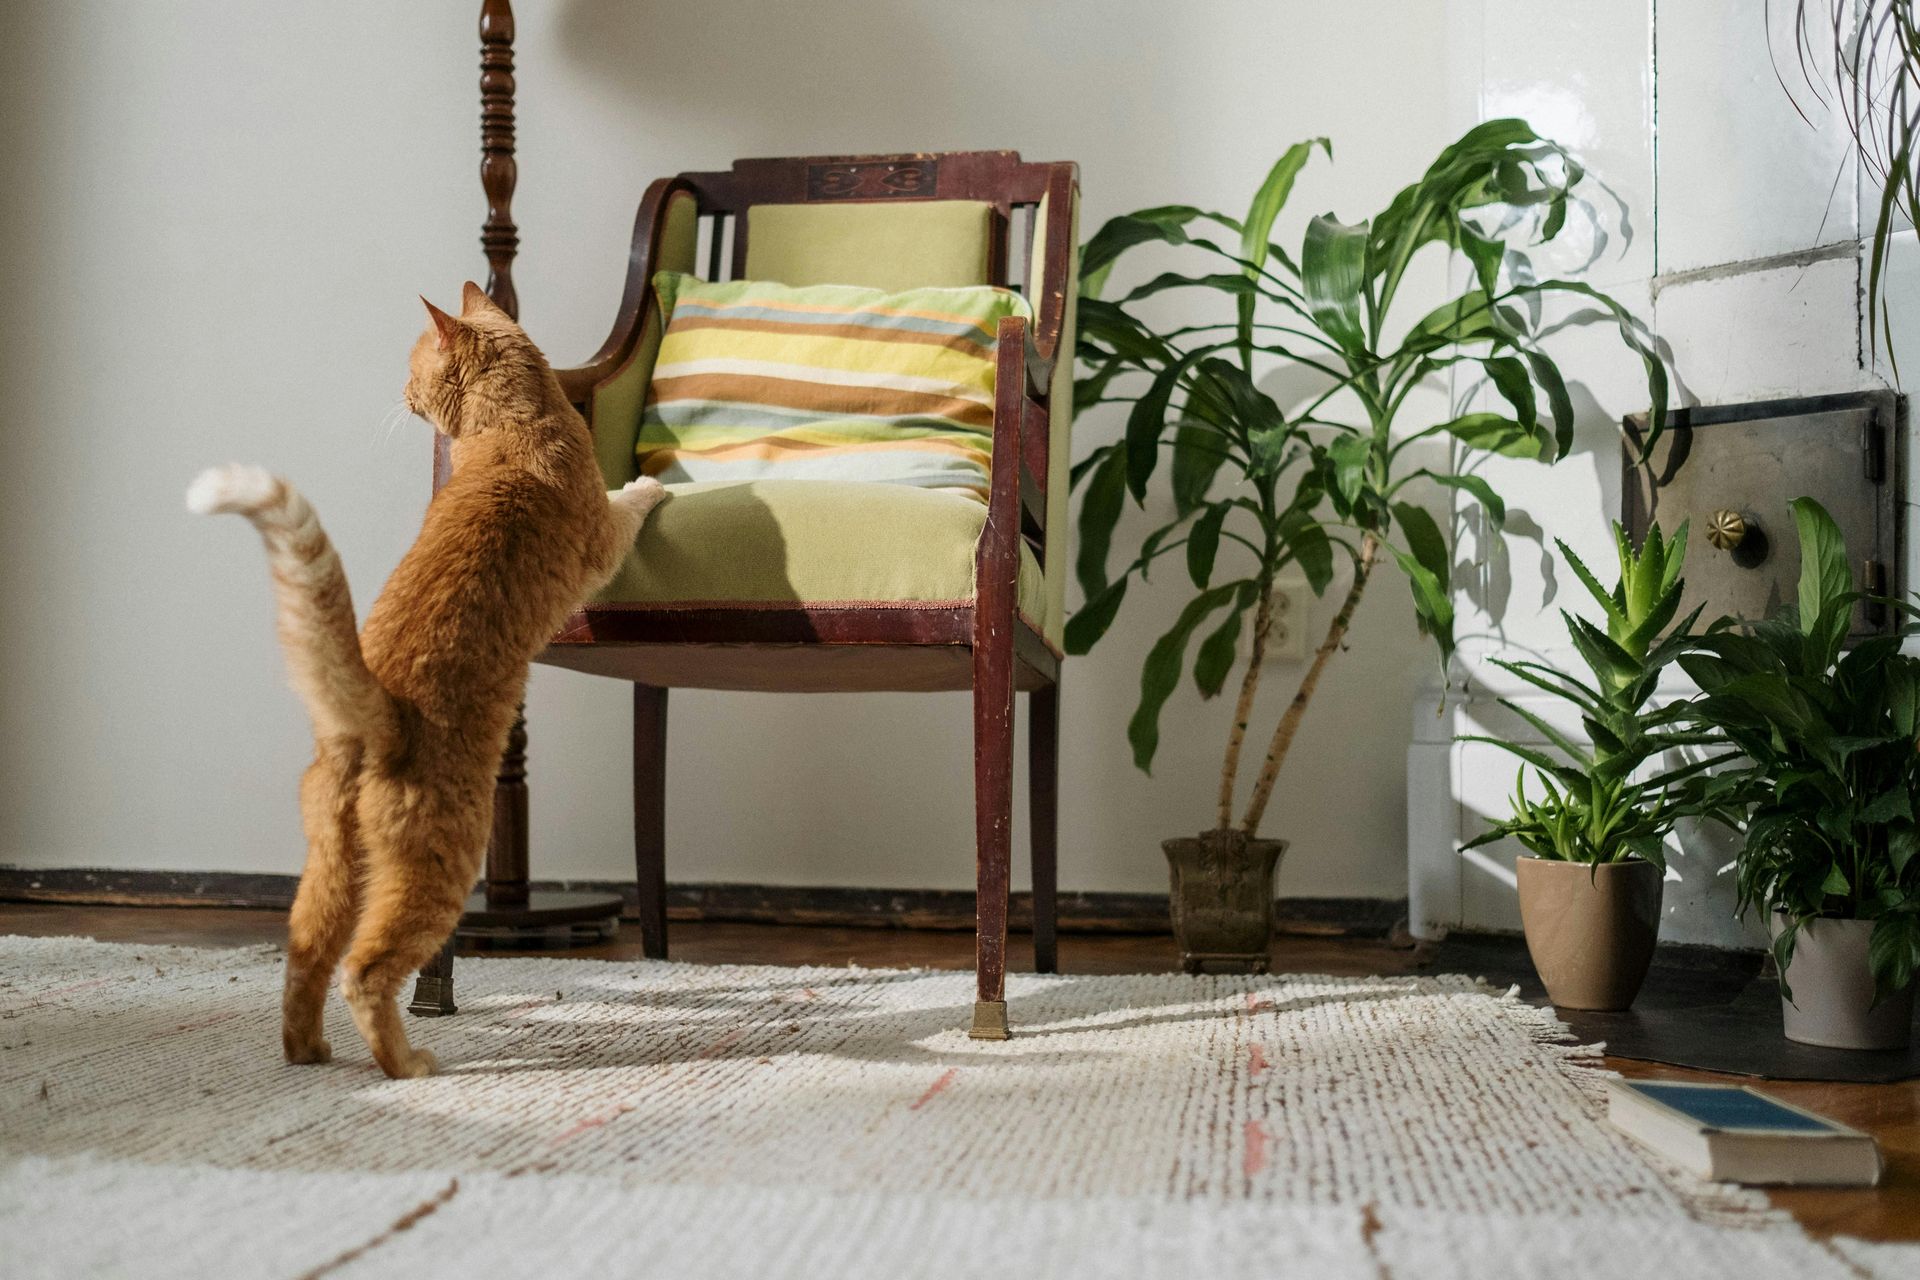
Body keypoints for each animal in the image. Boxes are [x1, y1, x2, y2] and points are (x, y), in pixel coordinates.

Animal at [189, 285, 660, 1074]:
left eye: (411, 368)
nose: (400, 393)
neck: (513, 417)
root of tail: (373, 712)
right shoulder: (604, 542)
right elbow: (630, 502)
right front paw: (653, 483)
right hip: (443, 862)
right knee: (366, 970)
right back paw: (408, 1065)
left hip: (334, 868)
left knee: (305, 956)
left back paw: (308, 1051)